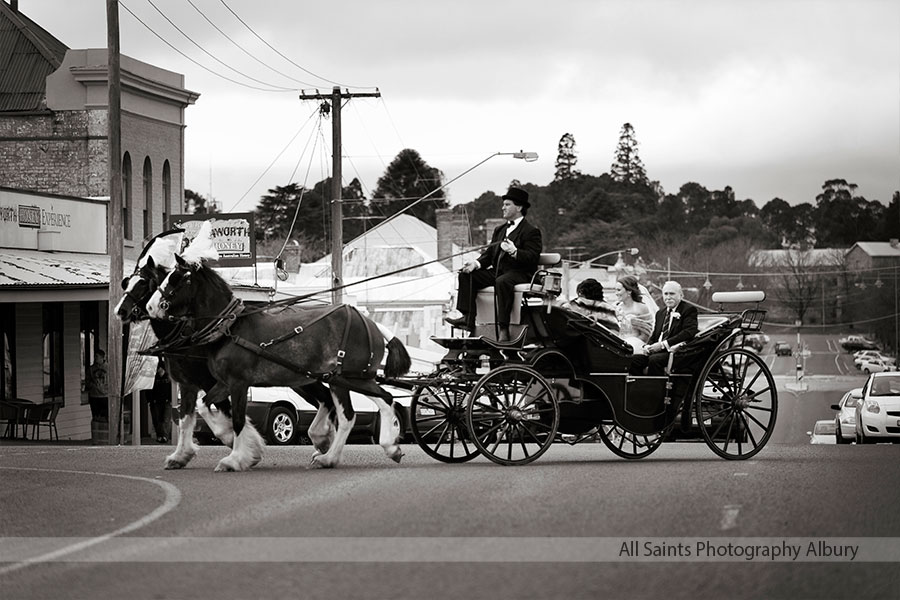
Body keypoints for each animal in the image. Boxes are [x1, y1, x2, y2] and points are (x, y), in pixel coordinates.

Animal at [113, 230, 338, 468]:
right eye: (127, 282)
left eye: (144, 283)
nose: (120, 311)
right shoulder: (188, 384)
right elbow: (186, 418)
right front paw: (180, 455)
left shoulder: (213, 381)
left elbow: (227, 414)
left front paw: (244, 447)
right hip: (299, 379)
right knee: (326, 399)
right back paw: (323, 443)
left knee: (327, 399)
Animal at [146, 234, 414, 468]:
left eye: (176, 279)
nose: (151, 306)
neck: (230, 328)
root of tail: (371, 323)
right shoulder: (222, 383)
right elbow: (202, 407)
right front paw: (228, 440)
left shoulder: (238, 383)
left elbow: (238, 419)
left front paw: (235, 458)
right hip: (345, 379)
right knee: (361, 410)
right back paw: (339, 456)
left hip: (350, 377)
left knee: (378, 402)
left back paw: (377, 447)